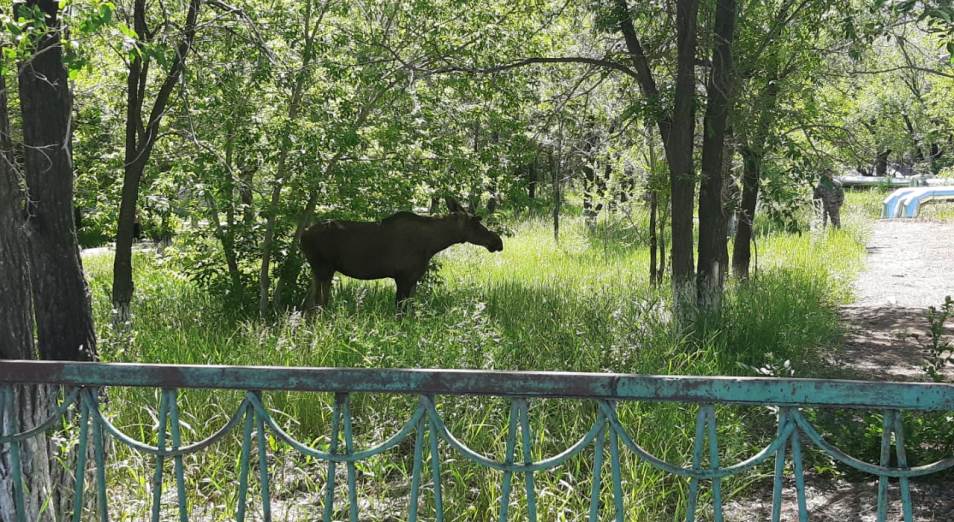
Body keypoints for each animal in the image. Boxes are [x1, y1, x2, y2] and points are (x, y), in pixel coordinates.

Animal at [302, 197, 502, 306]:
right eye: (476, 222)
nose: (497, 241)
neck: (432, 244)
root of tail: (302, 236)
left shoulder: (412, 279)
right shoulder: (403, 277)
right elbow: (400, 312)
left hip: (318, 271)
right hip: (324, 269)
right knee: (319, 303)